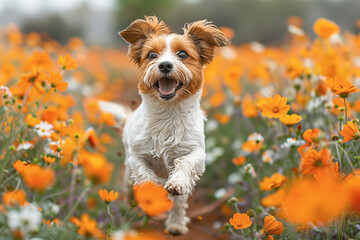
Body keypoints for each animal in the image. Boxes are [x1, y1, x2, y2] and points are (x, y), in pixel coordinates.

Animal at [98, 15, 228, 235]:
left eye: (182, 54)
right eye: (151, 55)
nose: (165, 65)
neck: (168, 114)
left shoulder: (196, 151)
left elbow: (186, 163)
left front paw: (176, 184)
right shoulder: (137, 155)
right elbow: (144, 175)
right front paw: (152, 190)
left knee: (179, 203)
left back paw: (175, 223)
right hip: (127, 175)